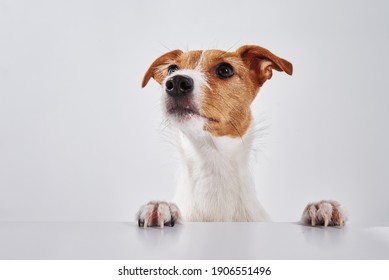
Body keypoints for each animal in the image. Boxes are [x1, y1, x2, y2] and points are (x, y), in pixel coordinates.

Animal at [137, 43, 346, 228]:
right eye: (172, 69)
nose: (176, 82)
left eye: (225, 70)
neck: (213, 163)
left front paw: (320, 208)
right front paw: (161, 207)